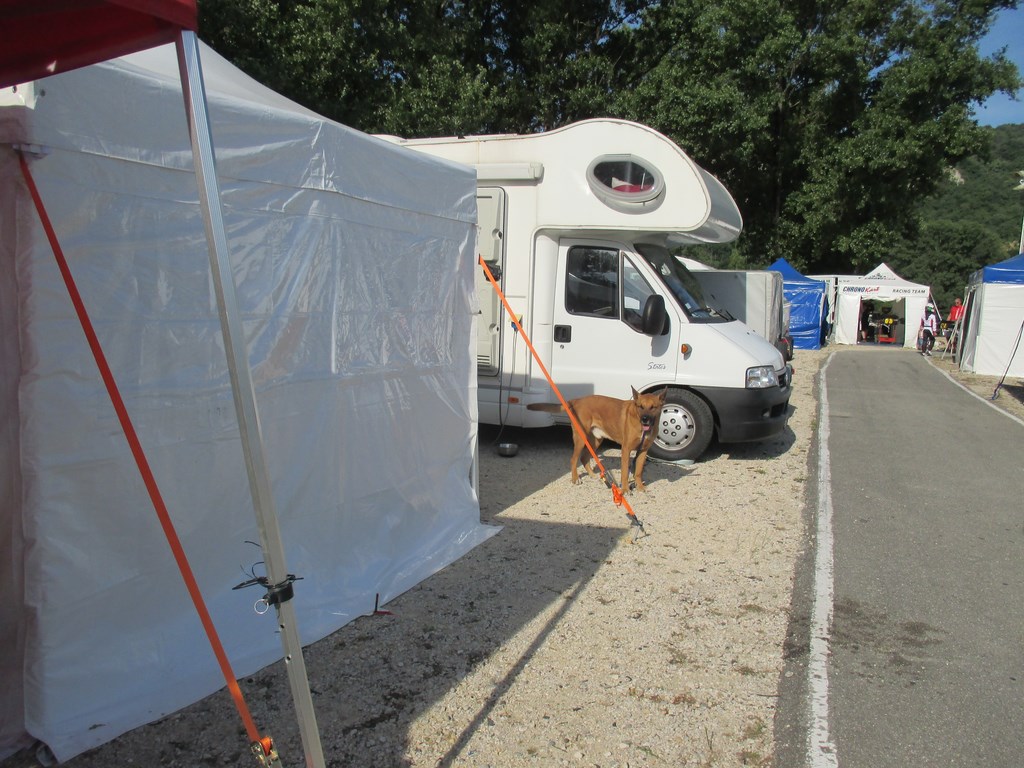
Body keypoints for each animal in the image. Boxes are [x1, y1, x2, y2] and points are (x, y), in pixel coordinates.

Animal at [528, 387, 667, 491]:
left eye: (653, 407)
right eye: (640, 406)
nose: (645, 419)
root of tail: (576, 400)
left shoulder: (643, 451)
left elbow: (638, 472)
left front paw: (640, 487)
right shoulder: (626, 449)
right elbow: (625, 473)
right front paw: (625, 490)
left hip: (596, 441)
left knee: (584, 458)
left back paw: (592, 475)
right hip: (581, 439)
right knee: (574, 459)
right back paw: (575, 479)